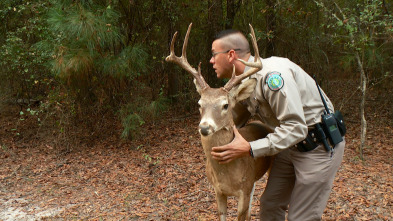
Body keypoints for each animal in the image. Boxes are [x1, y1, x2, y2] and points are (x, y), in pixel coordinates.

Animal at [165, 23, 272, 220]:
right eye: (199, 104)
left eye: (225, 105)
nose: (204, 127)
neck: (226, 175)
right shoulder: (218, 191)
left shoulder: (244, 189)